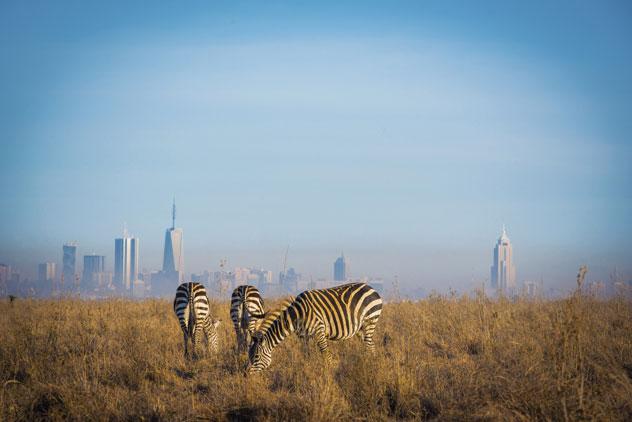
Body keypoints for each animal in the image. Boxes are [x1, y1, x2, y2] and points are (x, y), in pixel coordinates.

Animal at [246, 284, 380, 372]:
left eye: (256, 357)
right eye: (249, 355)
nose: (248, 375)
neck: (296, 315)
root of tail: (371, 288)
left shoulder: (319, 330)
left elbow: (325, 353)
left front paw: (330, 373)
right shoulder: (303, 335)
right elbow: (306, 354)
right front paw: (307, 369)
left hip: (370, 321)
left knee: (370, 345)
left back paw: (371, 366)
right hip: (360, 329)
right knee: (370, 346)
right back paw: (369, 363)